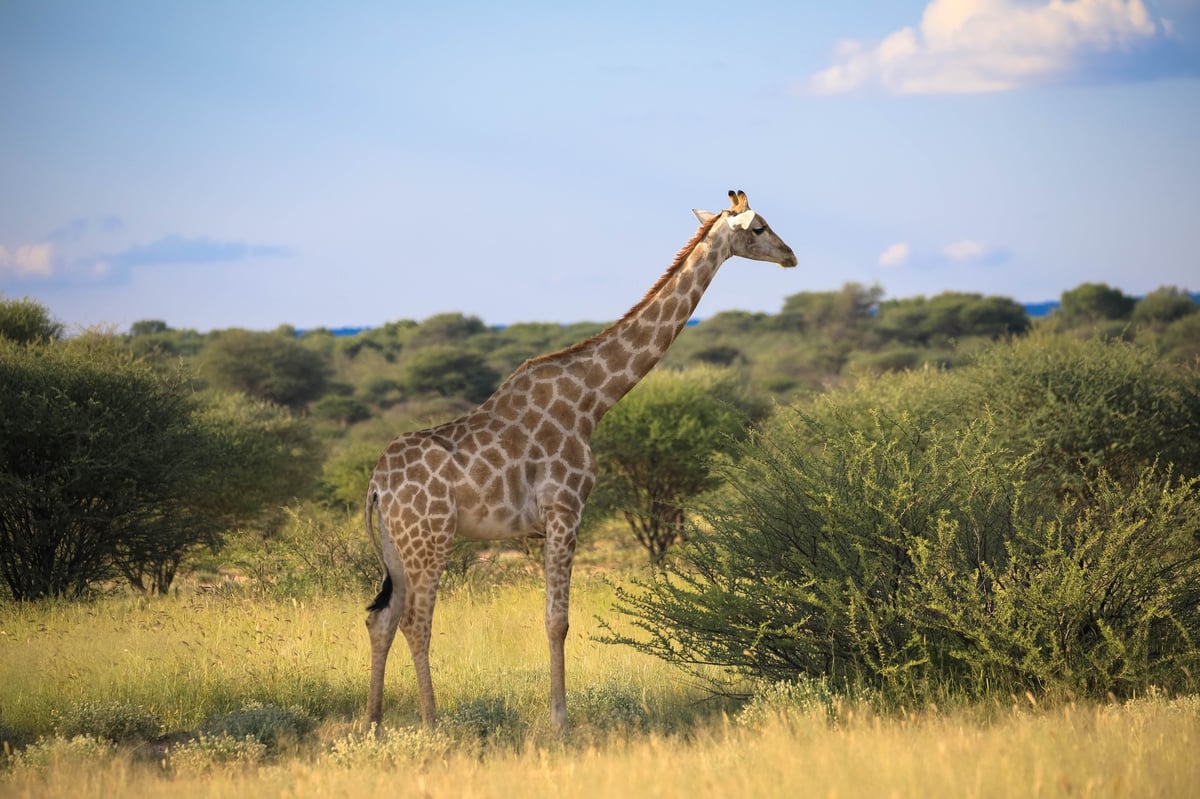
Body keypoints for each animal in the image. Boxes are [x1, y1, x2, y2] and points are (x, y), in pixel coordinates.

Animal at [364, 190, 797, 731]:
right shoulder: (565, 510)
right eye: (759, 227)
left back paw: (374, 725)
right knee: (416, 621)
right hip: (430, 538)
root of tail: (376, 485)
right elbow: (558, 621)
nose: (790, 255)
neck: (593, 399)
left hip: (397, 546)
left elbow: (554, 618)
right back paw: (431, 724)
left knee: (380, 618)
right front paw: (561, 720)